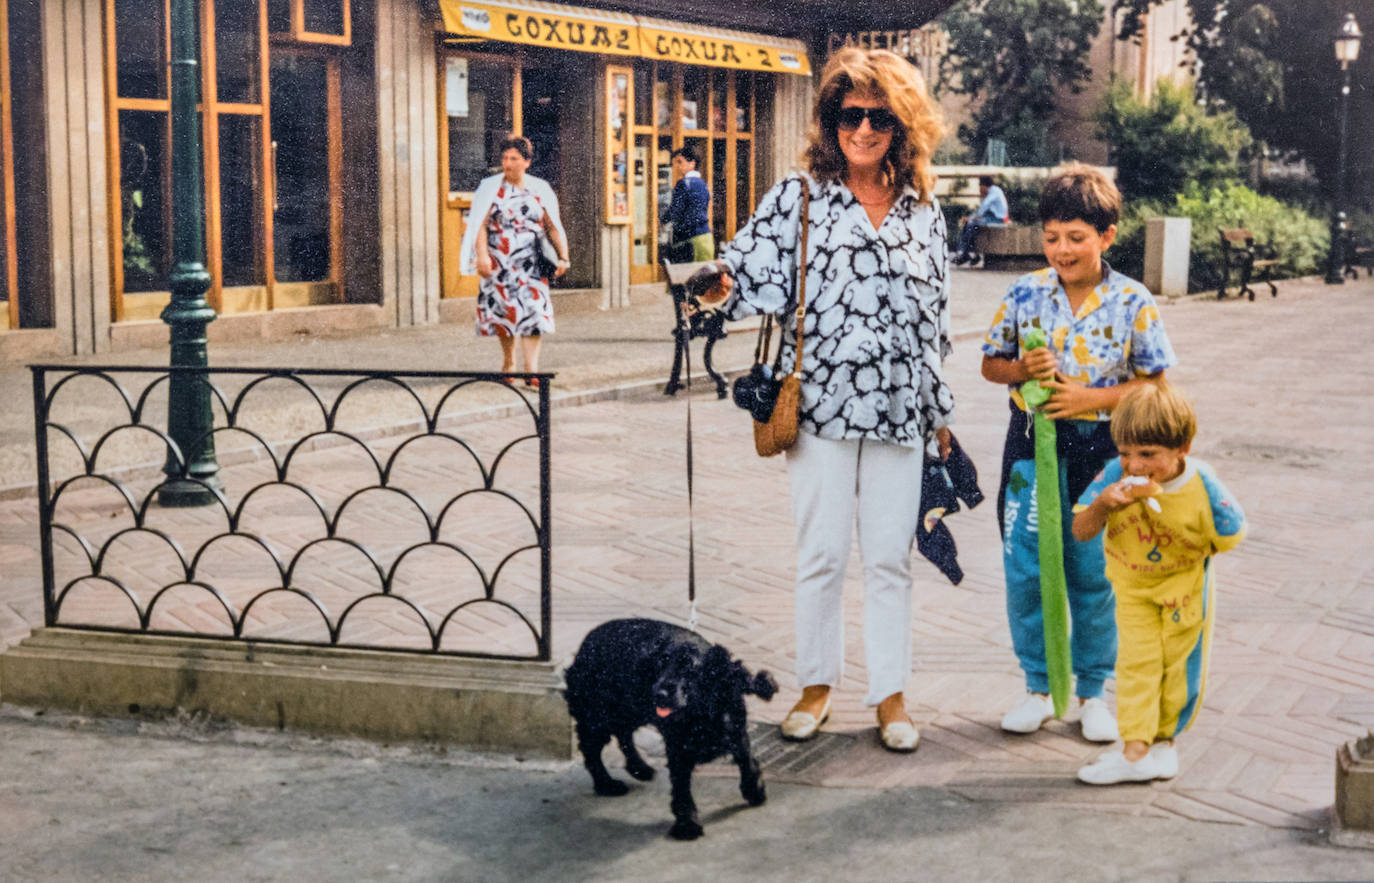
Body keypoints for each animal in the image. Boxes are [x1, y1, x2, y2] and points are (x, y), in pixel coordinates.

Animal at [557, 617, 774, 840]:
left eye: (690, 667)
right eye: (661, 663)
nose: (659, 694)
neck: (700, 711)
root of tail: (587, 641)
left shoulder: (736, 730)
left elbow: (746, 758)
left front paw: (754, 789)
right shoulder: (678, 747)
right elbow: (681, 786)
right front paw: (687, 824)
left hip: (629, 710)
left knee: (623, 734)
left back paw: (639, 768)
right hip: (598, 715)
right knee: (592, 749)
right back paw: (606, 784)